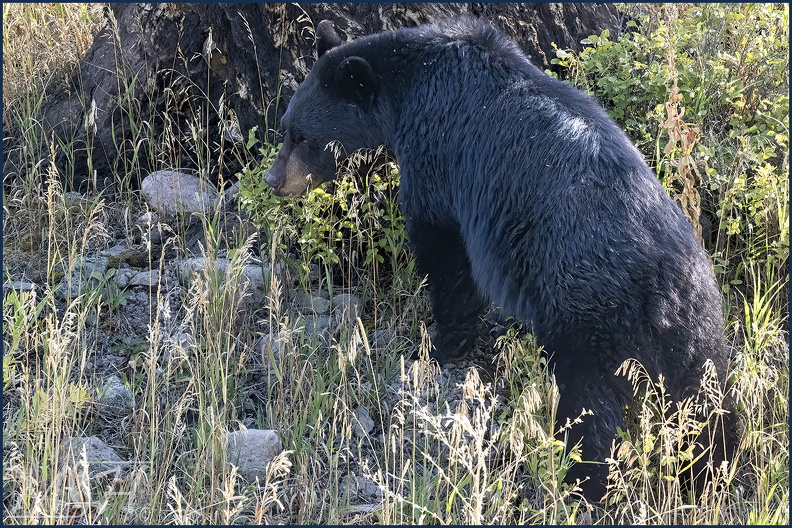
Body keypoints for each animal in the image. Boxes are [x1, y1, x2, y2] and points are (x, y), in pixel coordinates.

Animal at [264, 18, 738, 500]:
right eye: (285, 127)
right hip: (698, 334)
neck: (409, 84)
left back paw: (579, 482)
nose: (273, 179)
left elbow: (446, 252)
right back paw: (712, 474)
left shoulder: (437, 150)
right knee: (710, 407)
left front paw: (441, 347)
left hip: (589, 318)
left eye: (302, 137)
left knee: (591, 407)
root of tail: (667, 289)